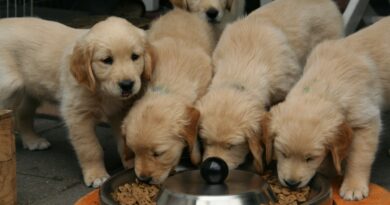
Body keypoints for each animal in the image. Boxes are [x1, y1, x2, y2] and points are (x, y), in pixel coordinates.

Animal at [0, 17, 152, 187]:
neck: (101, 89)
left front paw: (131, 165)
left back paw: (33, 141)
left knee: (22, 114)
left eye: (135, 57)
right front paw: (96, 175)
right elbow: (90, 148)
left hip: (30, 91)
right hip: (10, 85)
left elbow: (124, 142)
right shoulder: (77, 115)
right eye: (107, 60)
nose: (127, 84)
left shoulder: (121, 111)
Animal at [266, 17, 390, 200]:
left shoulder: (366, 121)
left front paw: (354, 186)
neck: (324, 84)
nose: (291, 183)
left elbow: (359, 157)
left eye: (311, 158)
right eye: (283, 153)